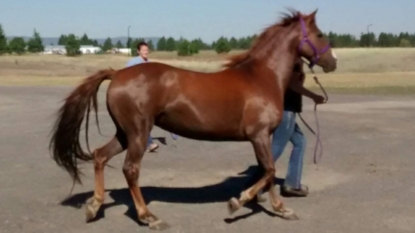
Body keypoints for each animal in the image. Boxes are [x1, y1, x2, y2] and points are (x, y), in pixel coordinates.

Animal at [49, 8, 338, 229]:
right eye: (320, 34)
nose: (332, 62)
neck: (261, 76)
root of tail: (117, 74)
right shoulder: (259, 135)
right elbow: (268, 171)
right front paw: (238, 202)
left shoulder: (262, 138)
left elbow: (266, 172)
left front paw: (280, 208)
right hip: (139, 133)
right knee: (130, 169)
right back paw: (148, 217)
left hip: (124, 134)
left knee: (99, 156)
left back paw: (94, 206)